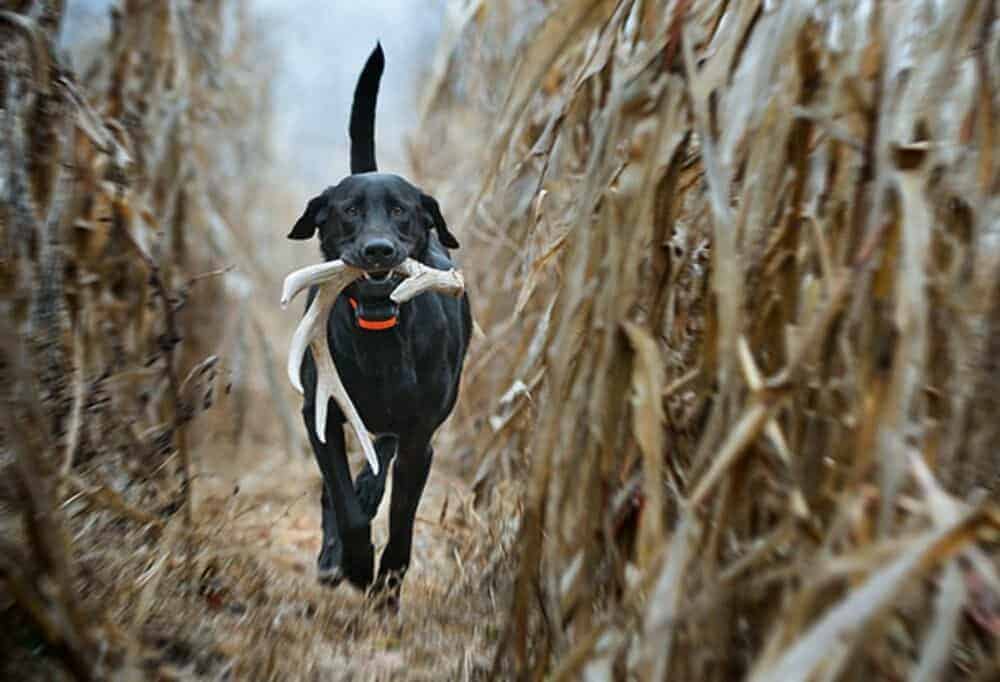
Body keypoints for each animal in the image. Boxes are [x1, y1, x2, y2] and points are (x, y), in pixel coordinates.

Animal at [286, 45, 472, 604]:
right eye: (348, 210)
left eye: (402, 211)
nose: (378, 250)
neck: (381, 338)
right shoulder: (320, 414)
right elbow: (342, 502)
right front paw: (354, 562)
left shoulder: (420, 437)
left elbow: (404, 517)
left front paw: (388, 581)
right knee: (342, 489)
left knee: (379, 463)